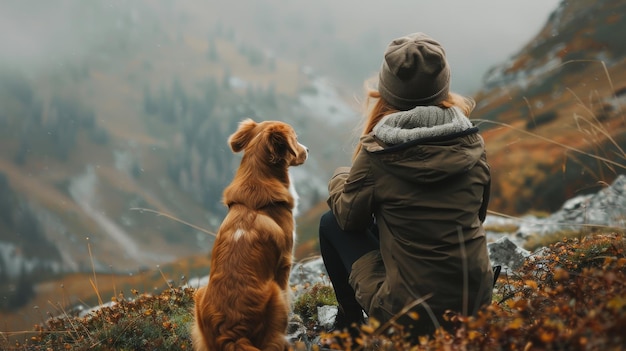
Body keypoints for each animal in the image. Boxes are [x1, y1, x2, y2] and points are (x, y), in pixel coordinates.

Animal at [190, 119, 308, 351]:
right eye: (296, 138)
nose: (307, 150)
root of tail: (231, 334)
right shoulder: (284, 263)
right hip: (274, 293)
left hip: (199, 295)